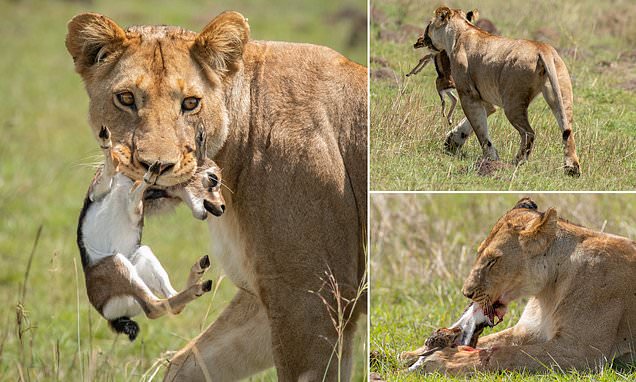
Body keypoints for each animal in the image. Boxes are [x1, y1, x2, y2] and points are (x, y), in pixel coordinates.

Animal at [77, 126, 224, 340]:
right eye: (213, 178)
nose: (220, 208)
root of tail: (110, 315)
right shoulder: (98, 191)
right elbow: (113, 167)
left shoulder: (133, 210)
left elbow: (130, 186)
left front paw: (151, 172)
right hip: (126, 264)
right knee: (164, 305)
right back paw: (200, 276)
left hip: (134, 258)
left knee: (158, 306)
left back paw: (200, 278)